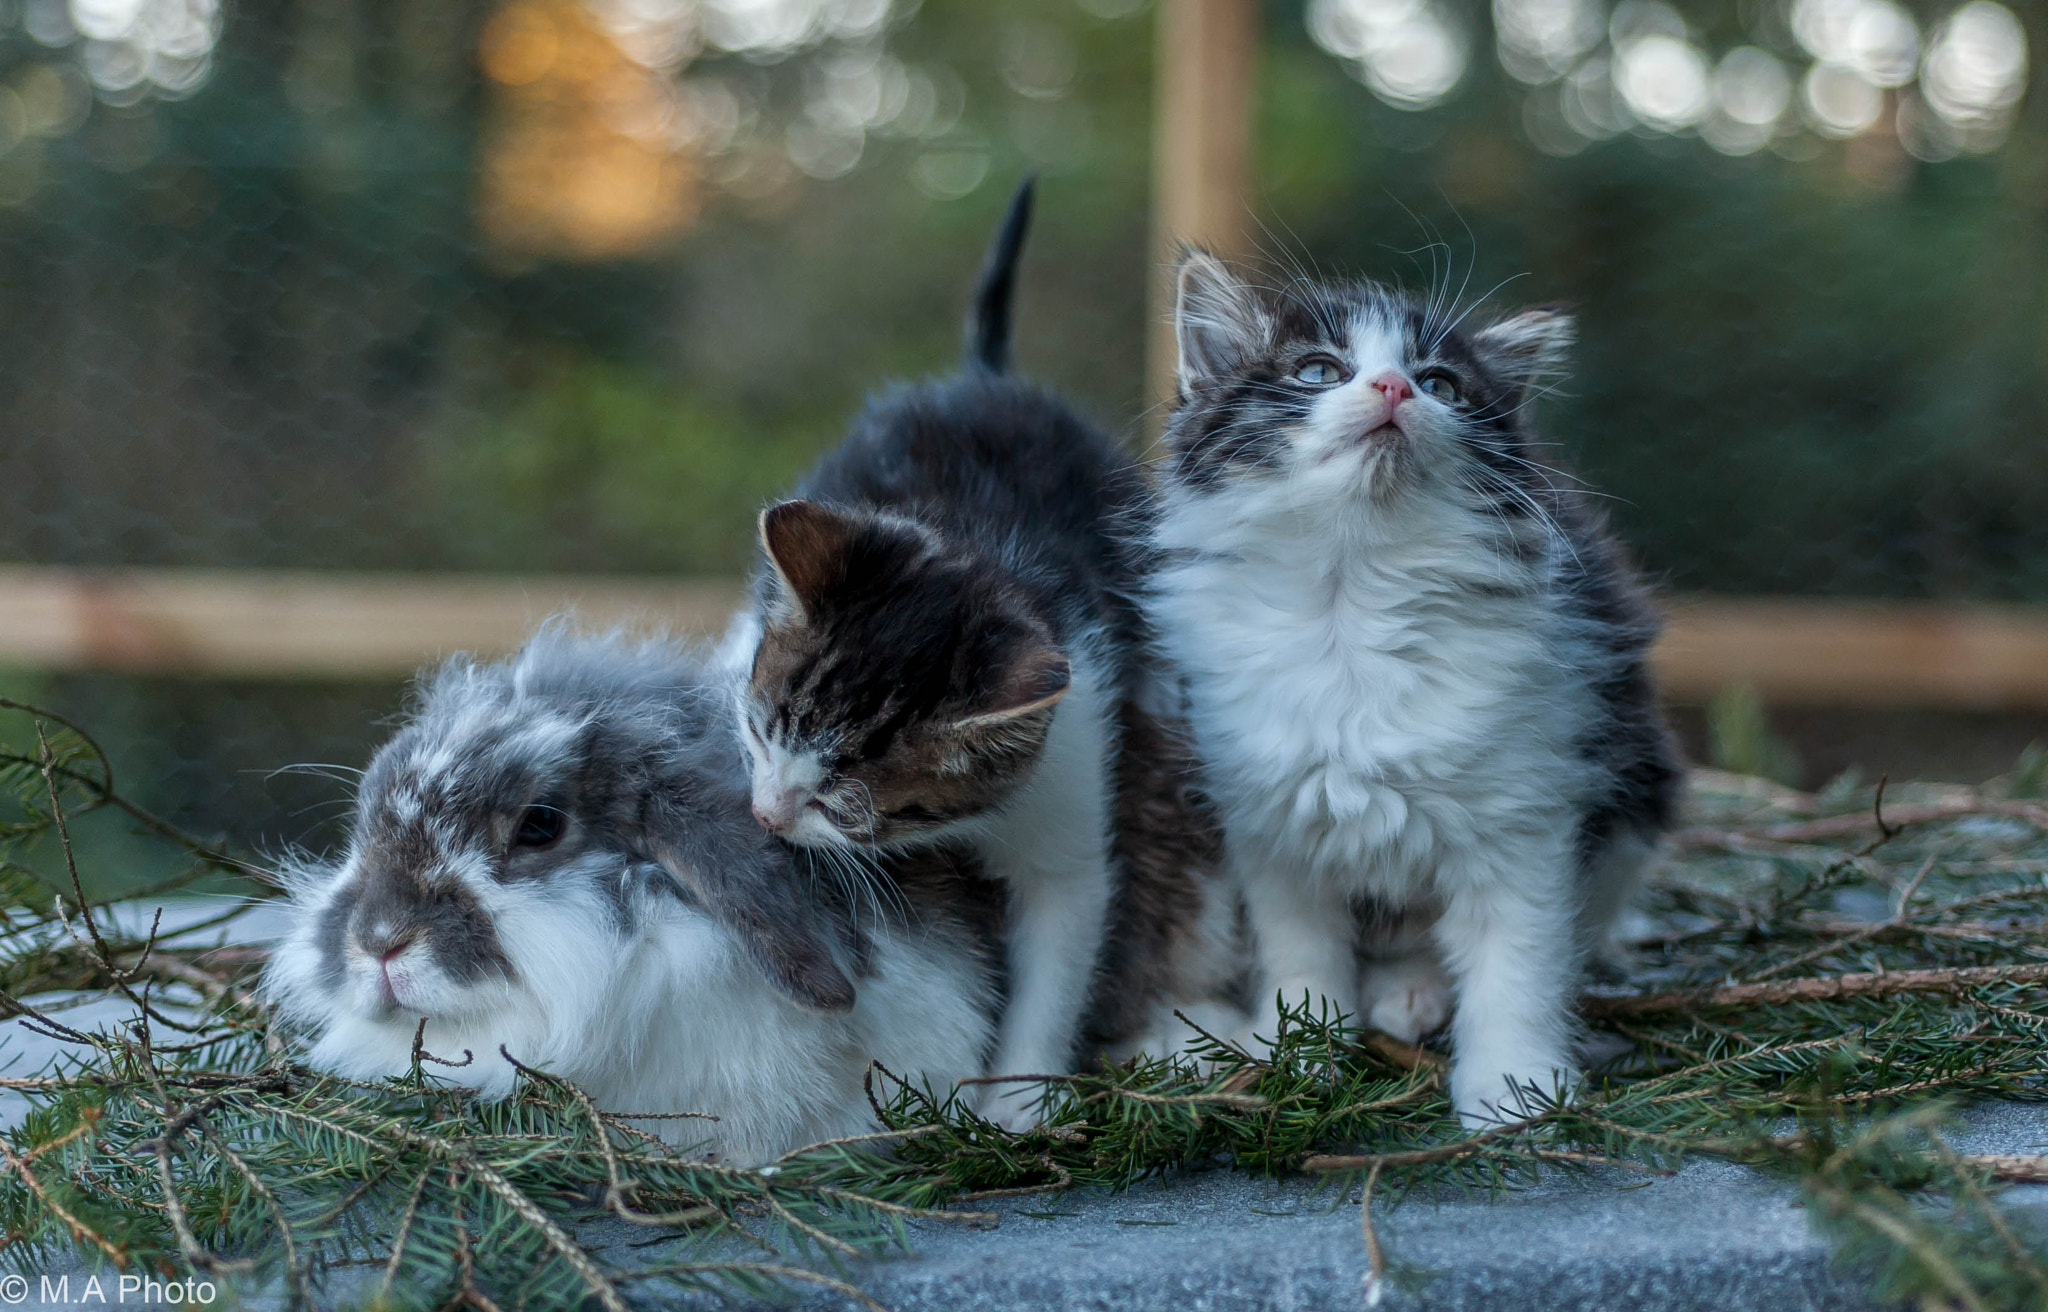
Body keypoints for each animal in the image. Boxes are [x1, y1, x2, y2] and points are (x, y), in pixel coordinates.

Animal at [733, 182, 1212, 1129]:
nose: (767, 817)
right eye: (763, 731)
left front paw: (1014, 1108)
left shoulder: (1073, 755)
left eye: (845, 805)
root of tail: (983, 376)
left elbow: (1059, 947)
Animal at [1138, 247, 1679, 1129]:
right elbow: (1302, 954)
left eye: (1441, 383)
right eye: (1318, 371)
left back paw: (1415, 992)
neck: (1354, 609)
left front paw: (1515, 1087)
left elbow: (1516, 966)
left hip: (1636, 793)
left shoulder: (1528, 814)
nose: (1394, 388)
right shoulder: (1271, 819)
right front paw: (1301, 1054)